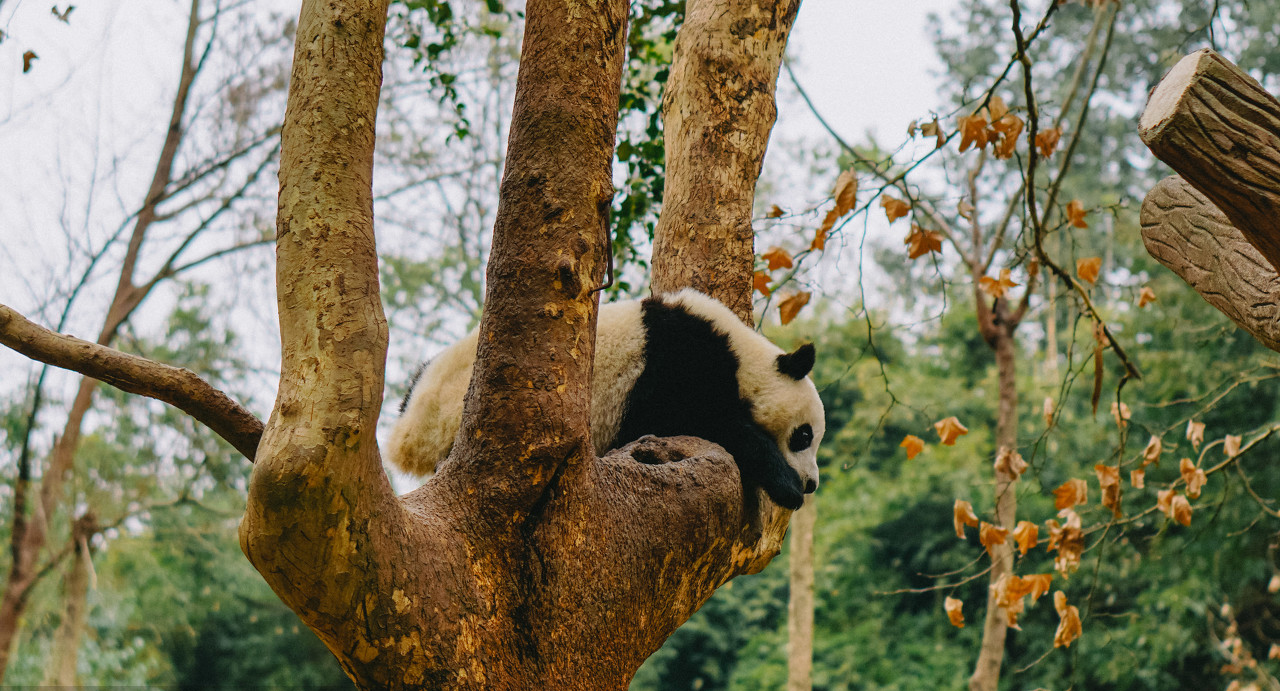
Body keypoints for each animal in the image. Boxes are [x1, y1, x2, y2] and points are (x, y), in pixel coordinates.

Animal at [389, 289, 824, 509]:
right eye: (804, 436)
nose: (812, 484)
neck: (742, 355)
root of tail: (408, 435)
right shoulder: (676, 362)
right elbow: (705, 421)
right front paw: (785, 485)